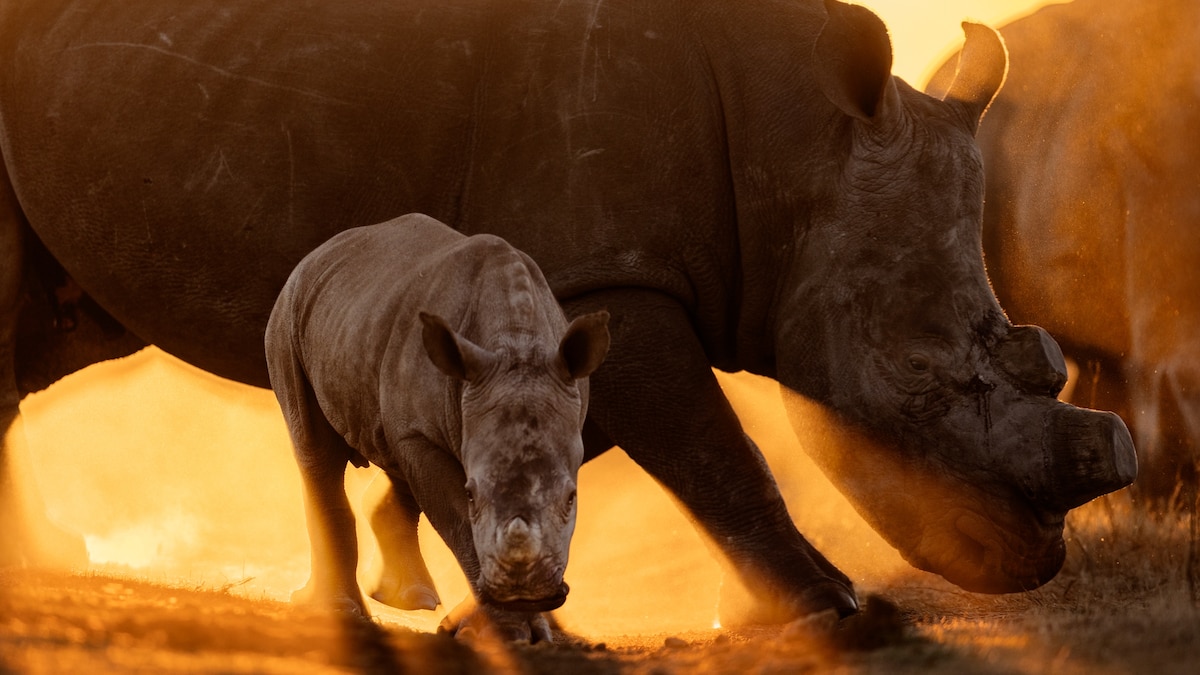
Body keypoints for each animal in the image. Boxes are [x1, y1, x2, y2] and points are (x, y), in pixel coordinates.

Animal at [266, 214, 609, 640]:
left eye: (572, 498)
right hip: (288, 315)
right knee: (315, 451)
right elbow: (459, 523)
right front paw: (508, 632)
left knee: (392, 455)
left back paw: (410, 601)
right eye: (472, 494)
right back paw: (340, 610)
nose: (527, 594)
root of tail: (317, 253)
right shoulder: (424, 435)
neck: (517, 345)